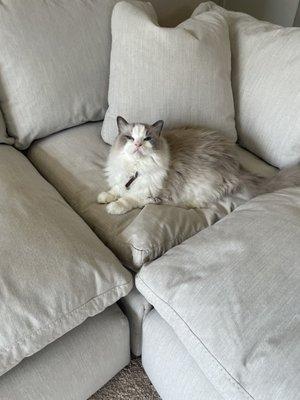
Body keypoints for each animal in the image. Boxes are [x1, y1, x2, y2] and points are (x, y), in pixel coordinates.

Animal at [97, 116, 298, 216]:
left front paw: (113, 207)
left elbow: (128, 199)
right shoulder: (121, 181)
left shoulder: (149, 194)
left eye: (147, 139)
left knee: (203, 200)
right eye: (130, 138)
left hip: (207, 184)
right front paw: (104, 197)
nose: (138, 145)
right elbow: (116, 189)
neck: (135, 169)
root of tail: (237, 165)